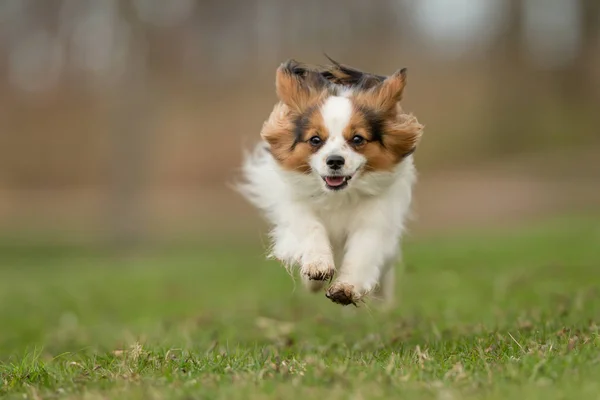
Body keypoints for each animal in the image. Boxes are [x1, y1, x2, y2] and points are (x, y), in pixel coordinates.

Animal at [237, 57, 424, 306]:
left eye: (357, 139)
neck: (339, 197)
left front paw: (346, 288)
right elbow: (312, 229)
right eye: (315, 140)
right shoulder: (296, 209)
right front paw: (318, 266)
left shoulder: (375, 219)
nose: (335, 160)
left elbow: (362, 253)